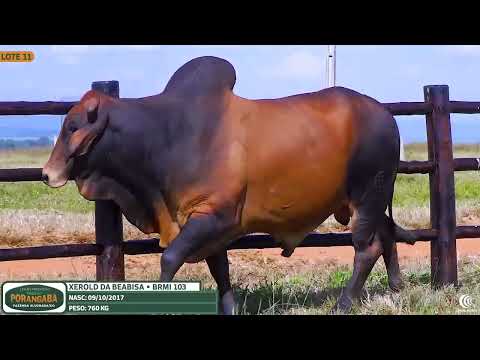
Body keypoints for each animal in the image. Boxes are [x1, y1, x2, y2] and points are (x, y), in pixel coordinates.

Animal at [42, 54, 416, 314]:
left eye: (73, 126)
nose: (47, 173)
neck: (165, 135)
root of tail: (385, 114)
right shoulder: (209, 225)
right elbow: (219, 269)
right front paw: (230, 308)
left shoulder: (212, 215)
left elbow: (170, 258)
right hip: (369, 199)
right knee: (386, 234)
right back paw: (396, 288)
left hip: (367, 195)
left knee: (367, 248)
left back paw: (344, 303)